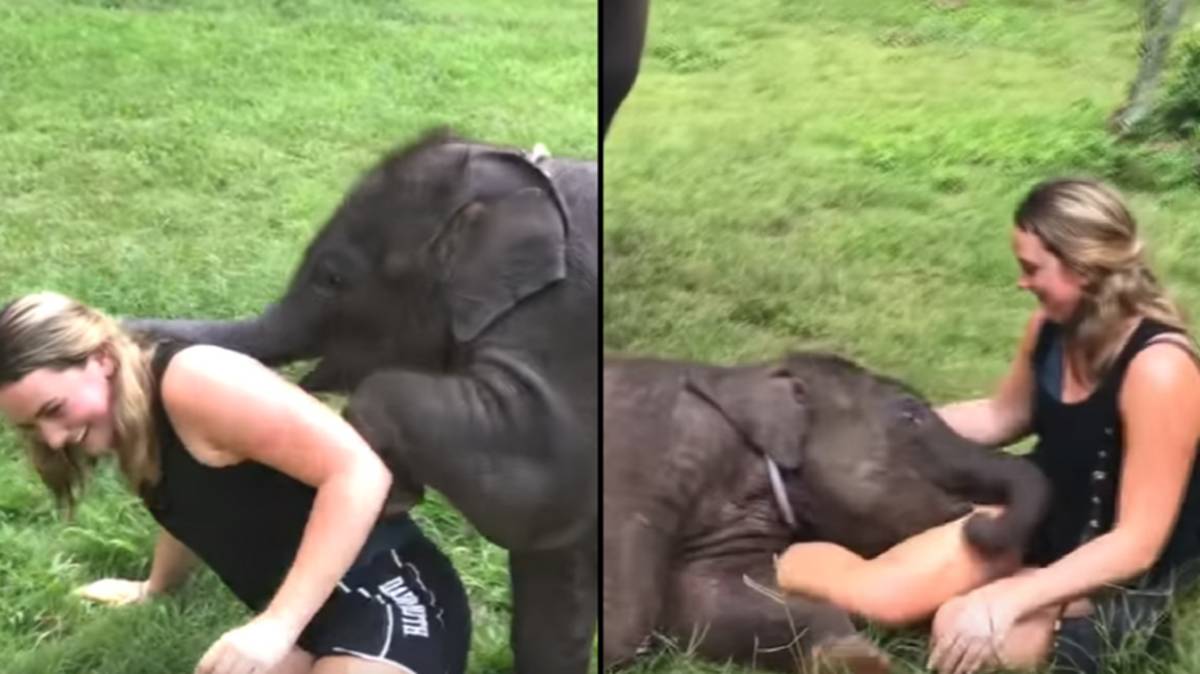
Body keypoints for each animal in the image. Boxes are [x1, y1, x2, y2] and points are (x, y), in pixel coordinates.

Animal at [600, 347, 1051, 666]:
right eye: (910, 414)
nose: (979, 526)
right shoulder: (650, 453)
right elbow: (631, 620)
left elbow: (713, 601)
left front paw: (862, 663)